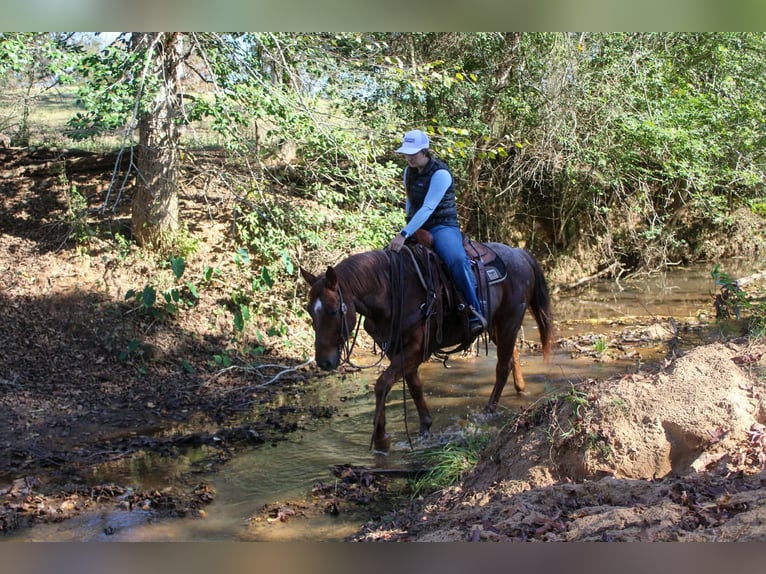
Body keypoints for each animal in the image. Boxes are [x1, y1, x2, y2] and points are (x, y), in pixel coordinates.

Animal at [300, 237, 554, 452]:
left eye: (333, 311)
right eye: (310, 312)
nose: (324, 361)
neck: (391, 291)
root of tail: (520, 253)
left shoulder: (416, 349)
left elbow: (382, 384)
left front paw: (381, 439)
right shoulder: (395, 350)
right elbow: (414, 385)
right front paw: (424, 427)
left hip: (510, 319)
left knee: (501, 367)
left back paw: (488, 411)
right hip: (496, 324)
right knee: (511, 355)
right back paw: (520, 389)